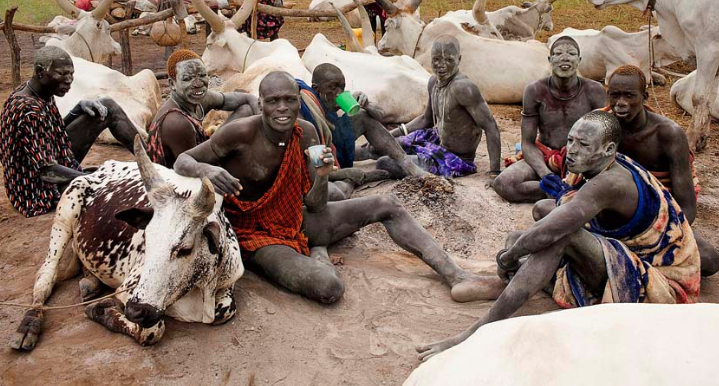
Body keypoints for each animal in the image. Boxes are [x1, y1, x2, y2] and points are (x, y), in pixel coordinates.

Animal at [9, 137, 245, 352]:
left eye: (185, 249)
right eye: (147, 241)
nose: (136, 310)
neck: (202, 286)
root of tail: (97, 169)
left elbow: (226, 309)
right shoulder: (128, 290)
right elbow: (152, 330)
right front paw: (99, 309)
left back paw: (90, 282)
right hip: (65, 213)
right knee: (46, 274)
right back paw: (29, 323)